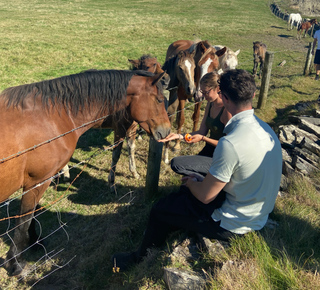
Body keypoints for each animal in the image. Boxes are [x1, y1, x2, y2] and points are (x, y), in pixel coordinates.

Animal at [0, 69, 171, 276]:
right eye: (159, 100)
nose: (167, 131)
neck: (51, 116)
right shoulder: (38, 181)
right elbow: (24, 221)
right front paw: (15, 263)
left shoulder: (35, 181)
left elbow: (31, 215)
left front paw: (34, 243)